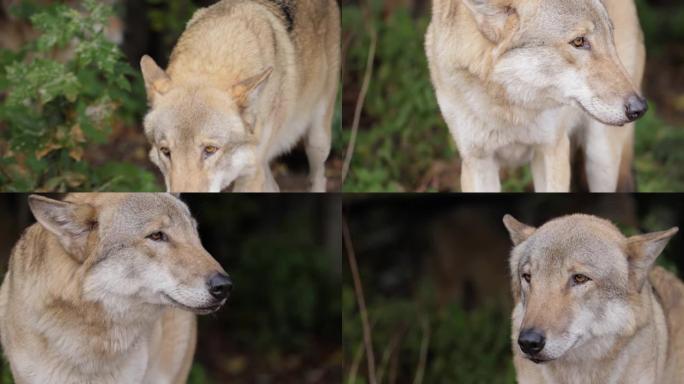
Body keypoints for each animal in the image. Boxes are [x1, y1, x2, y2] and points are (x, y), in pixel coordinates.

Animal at [140, 0, 342, 192]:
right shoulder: (255, 167)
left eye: (210, 149)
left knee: (318, 177)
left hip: (317, 142)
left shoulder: (251, 174)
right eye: (165, 151)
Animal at [428, 0, 648, 192]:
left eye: (609, 36)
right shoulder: (477, 163)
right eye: (579, 41)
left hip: (601, 158)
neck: (510, 110)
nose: (640, 108)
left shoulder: (553, 150)